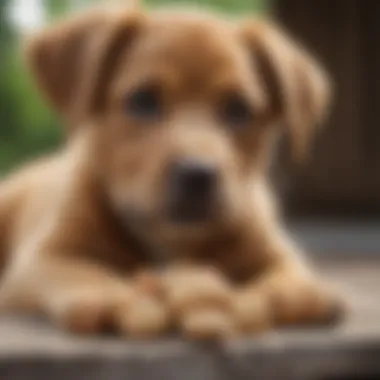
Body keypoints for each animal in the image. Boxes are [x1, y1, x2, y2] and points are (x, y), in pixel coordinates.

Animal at [0, 0, 342, 338]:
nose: (198, 174)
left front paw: (257, 301)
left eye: (238, 109)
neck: (169, 240)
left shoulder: (283, 259)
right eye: (143, 100)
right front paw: (118, 300)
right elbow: (85, 273)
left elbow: (292, 288)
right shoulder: (42, 259)